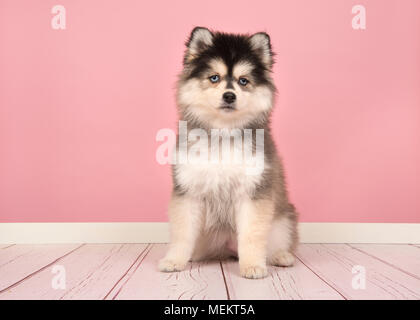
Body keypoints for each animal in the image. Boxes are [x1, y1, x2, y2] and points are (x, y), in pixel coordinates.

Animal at [158, 26, 298, 278]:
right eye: (215, 78)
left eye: (243, 81)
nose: (229, 95)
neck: (223, 132)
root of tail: (228, 249)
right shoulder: (188, 190)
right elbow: (182, 233)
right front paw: (174, 260)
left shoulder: (253, 192)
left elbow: (252, 235)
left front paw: (252, 265)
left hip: (284, 220)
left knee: (277, 242)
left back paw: (280, 256)